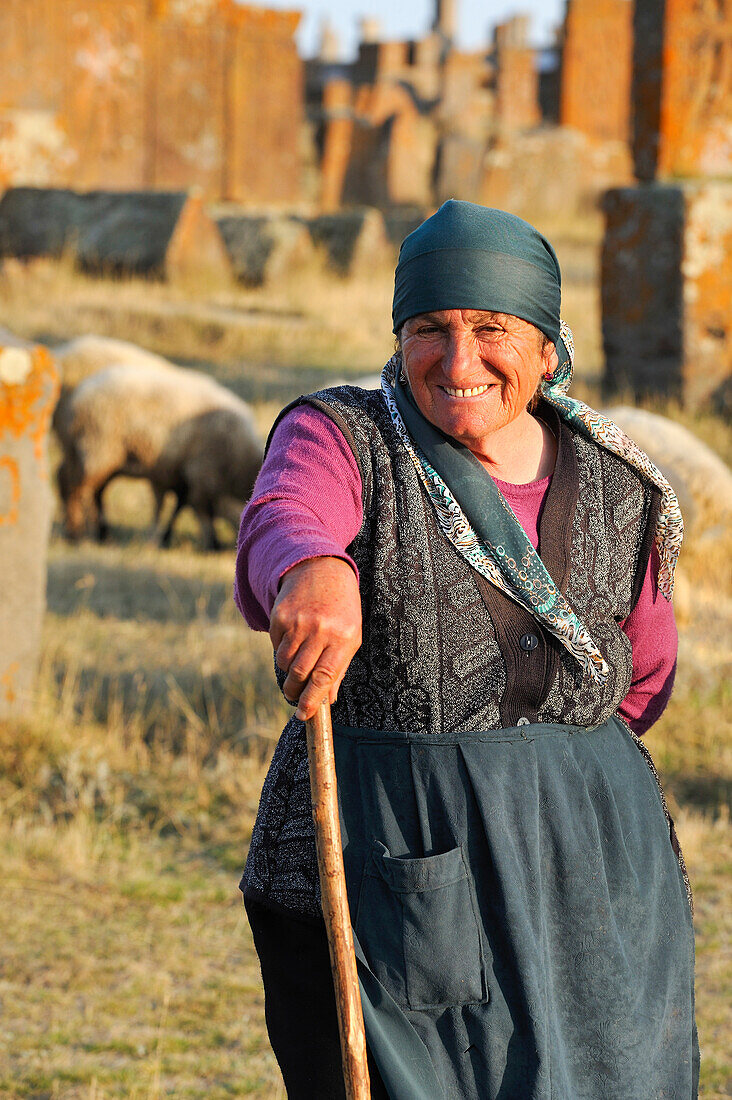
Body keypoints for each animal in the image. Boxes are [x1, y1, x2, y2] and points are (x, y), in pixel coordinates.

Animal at [57, 363, 263, 547]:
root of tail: (77, 397)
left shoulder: (181, 477)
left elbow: (178, 507)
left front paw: (165, 537)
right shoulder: (202, 472)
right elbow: (204, 510)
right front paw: (212, 543)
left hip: (90, 454)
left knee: (80, 485)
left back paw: (98, 534)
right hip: (97, 449)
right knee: (78, 489)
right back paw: (78, 534)